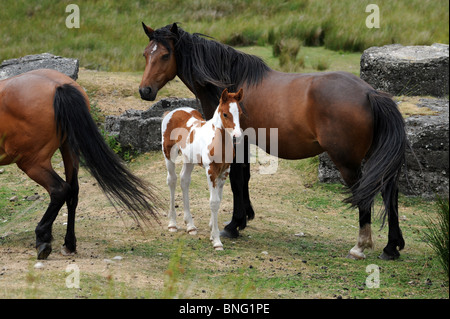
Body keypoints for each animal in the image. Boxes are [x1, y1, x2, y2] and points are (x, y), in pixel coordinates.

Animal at [0, 69, 160, 260]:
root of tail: (58, 86)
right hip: (69, 150)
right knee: (73, 192)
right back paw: (69, 244)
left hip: (32, 162)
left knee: (60, 189)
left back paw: (42, 238)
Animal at [162, 89, 244, 251]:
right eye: (225, 114)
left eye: (240, 112)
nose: (237, 136)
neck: (218, 140)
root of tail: (171, 112)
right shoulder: (211, 171)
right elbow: (213, 202)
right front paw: (217, 241)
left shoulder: (224, 172)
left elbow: (218, 199)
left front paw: (213, 231)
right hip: (169, 155)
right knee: (172, 180)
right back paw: (172, 224)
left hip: (189, 159)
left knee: (184, 180)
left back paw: (190, 226)